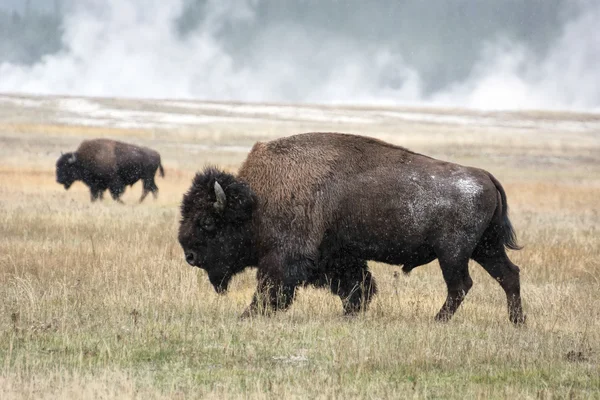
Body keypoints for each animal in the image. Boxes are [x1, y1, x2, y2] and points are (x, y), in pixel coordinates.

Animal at [178, 132, 524, 324]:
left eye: (207, 222)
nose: (190, 256)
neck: (257, 200)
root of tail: (485, 176)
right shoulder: (338, 256)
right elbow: (357, 286)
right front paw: (350, 313)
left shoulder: (285, 257)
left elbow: (272, 288)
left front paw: (248, 315)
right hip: (485, 248)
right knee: (508, 275)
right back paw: (517, 322)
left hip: (453, 253)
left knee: (461, 285)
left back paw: (438, 321)